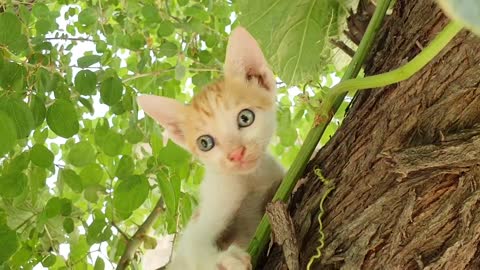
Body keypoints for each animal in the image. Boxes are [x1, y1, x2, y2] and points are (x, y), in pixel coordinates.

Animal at [137, 27, 284, 270]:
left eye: (245, 118)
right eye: (205, 143)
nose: (236, 154)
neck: (250, 180)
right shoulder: (200, 224)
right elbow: (195, 249)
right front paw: (224, 261)